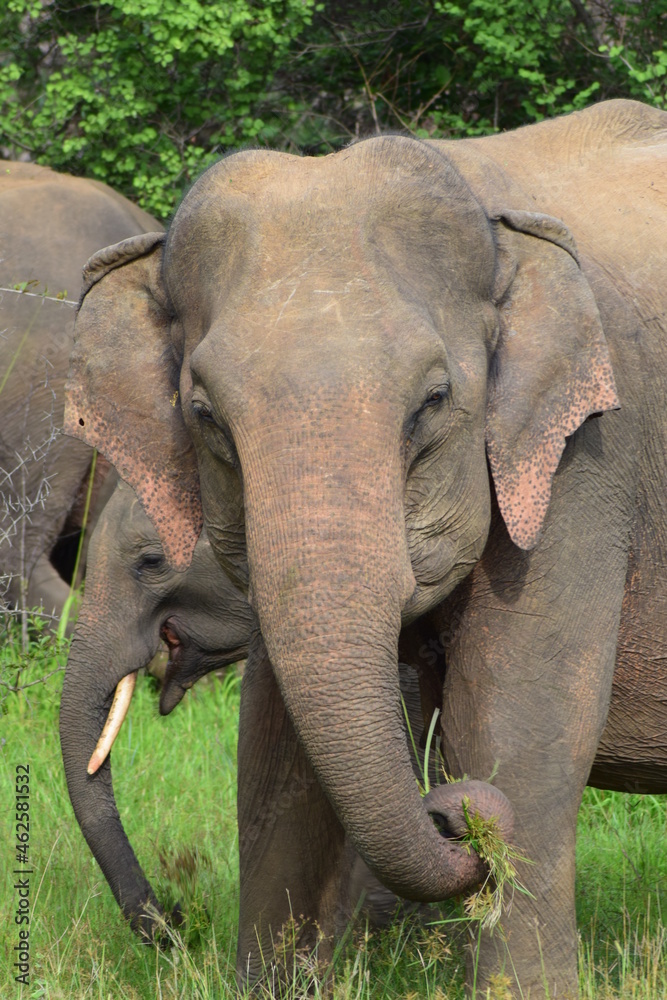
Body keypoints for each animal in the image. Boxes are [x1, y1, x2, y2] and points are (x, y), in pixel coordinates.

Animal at [63, 98, 667, 997]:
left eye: (433, 401)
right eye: (204, 415)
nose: (171, 923)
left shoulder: (585, 458)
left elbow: (517, 720)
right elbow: (273, 754)